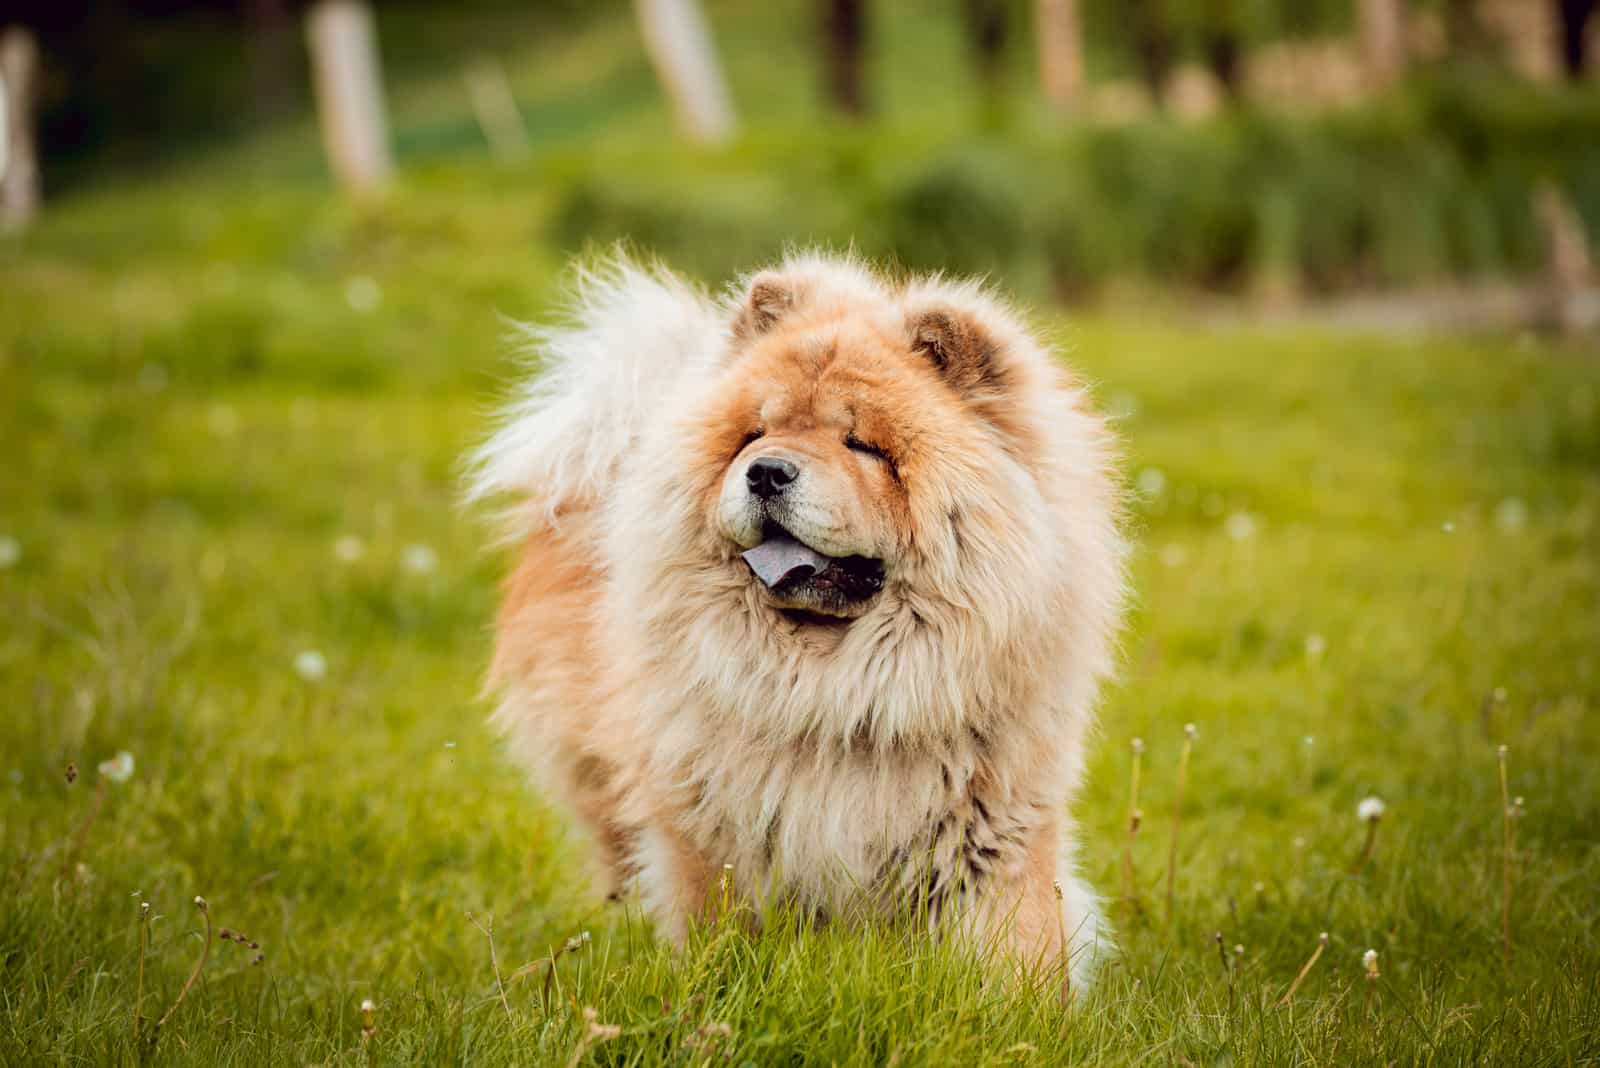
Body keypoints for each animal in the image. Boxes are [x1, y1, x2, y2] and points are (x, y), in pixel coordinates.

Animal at [470, 251, 1126, 984]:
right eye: (754, 435)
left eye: (863, 445)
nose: (766, 471)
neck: (838, 695)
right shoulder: (715, 832)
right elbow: (717, 927)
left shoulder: (991, 826)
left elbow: (1016, 946)